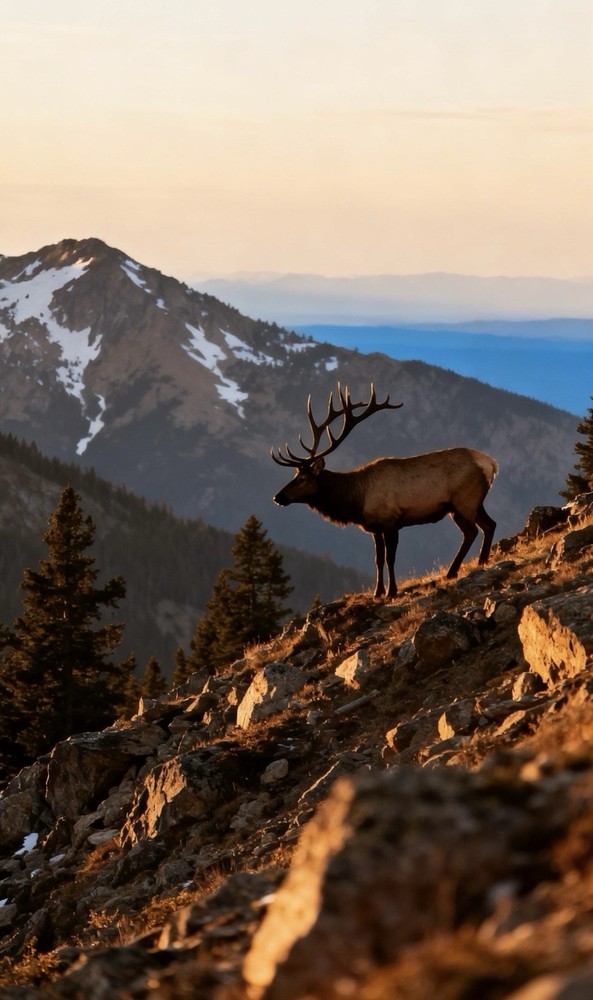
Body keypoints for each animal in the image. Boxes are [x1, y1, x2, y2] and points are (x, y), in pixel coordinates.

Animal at [271, 383, 498, 599]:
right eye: (294, 475)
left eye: (301, 479)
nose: (277, 497)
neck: (357, 500)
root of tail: (491, 464)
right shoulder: (375, 527)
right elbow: (378, 559)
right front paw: (377, 592)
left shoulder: (390, 521)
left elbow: (390, 558)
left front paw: (392, 591)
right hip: (474, 503)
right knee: (489, 525)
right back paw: (481, 562)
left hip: (463, 501)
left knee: (472, 531)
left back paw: (453, 571)